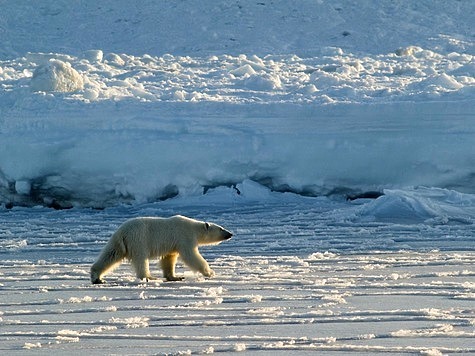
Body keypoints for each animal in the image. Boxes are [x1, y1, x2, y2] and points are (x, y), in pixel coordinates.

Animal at [90, 214, 233, 284]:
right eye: (221, 228)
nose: (230, 234)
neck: (194, 228)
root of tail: (122, 232)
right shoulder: (184, 237)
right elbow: (191, 256)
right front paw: (210, 272)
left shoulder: (173, 244)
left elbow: (169, 259)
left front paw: (175, 277)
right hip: (139, 239)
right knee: (141, 259)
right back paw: (149, 277)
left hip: (117, 242)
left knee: (110, 255)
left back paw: (97, 278)